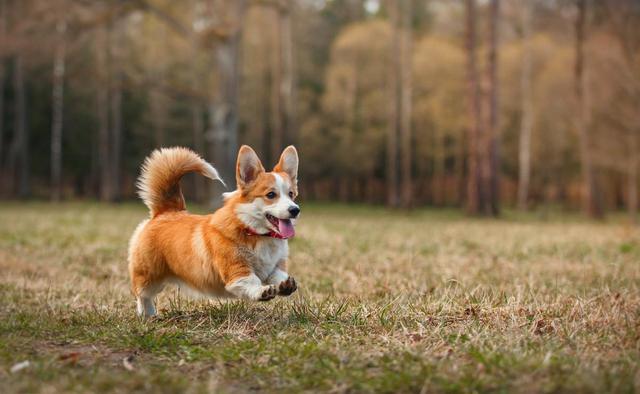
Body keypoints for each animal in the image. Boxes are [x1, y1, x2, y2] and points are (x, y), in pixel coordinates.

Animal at [130, 145, 302, 318]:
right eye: (271, 195)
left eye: (291, 194)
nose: (295, 210)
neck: (256, 233)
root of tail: (165, 211)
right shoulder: (237, 271)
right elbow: (251, 281)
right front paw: (262, 291)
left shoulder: (275, 267)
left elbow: (278, 275)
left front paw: (285, 285)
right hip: (149, 276)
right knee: (142, 294)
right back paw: (147, 314)